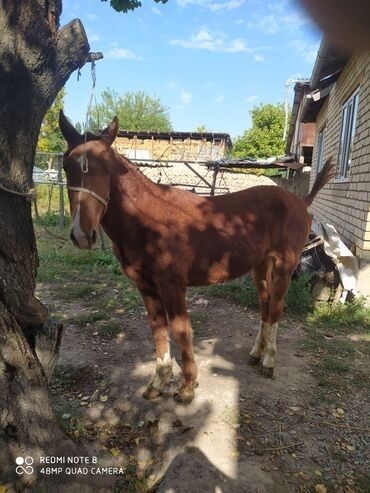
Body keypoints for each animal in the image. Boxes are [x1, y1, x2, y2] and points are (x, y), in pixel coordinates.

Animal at [59, 112, 334, 404]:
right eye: (66, 166)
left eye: (105, 167)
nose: (82, 234)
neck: (148, 220)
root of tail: (300, 201)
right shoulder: (146, 287)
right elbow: (158, 330)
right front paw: (158, 383)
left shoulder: (173, 286)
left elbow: (181, 331)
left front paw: (187, 387)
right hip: (260, 267)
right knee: (266, 306)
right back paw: (256, 354)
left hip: (284, 265)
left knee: (277, 308)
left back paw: (269, 362)